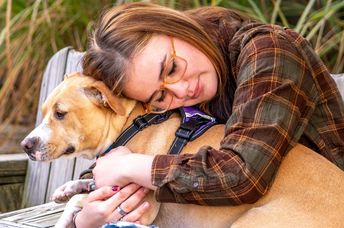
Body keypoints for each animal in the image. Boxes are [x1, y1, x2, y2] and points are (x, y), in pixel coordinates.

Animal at [20, 72, 344, 226]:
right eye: (45, 111)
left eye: (60, 113)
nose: (25, 145)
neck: (128, 123)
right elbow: (84, 187)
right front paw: (67, 188)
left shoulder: (140, 206)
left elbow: (79, 203)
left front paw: (65, 218)